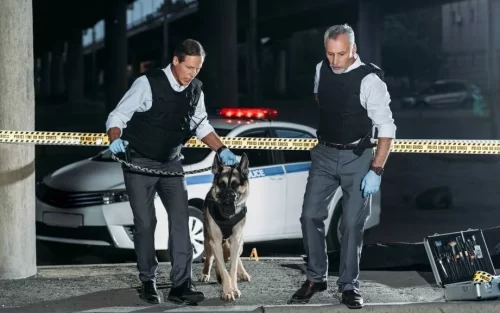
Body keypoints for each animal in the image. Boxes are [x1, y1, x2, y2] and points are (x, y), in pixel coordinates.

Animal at [198, 154, 252, 300]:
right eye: (221, 185)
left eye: (235, 185)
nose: (228, 196)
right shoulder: (215, 242)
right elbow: (223, 269)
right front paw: (227, 291)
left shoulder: (236, 239)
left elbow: (232, 268)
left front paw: (233, 288)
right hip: (208, 240)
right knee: (210, 258)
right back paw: (205, 273)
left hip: (240, 242)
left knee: (237, 258)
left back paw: (243, 273)